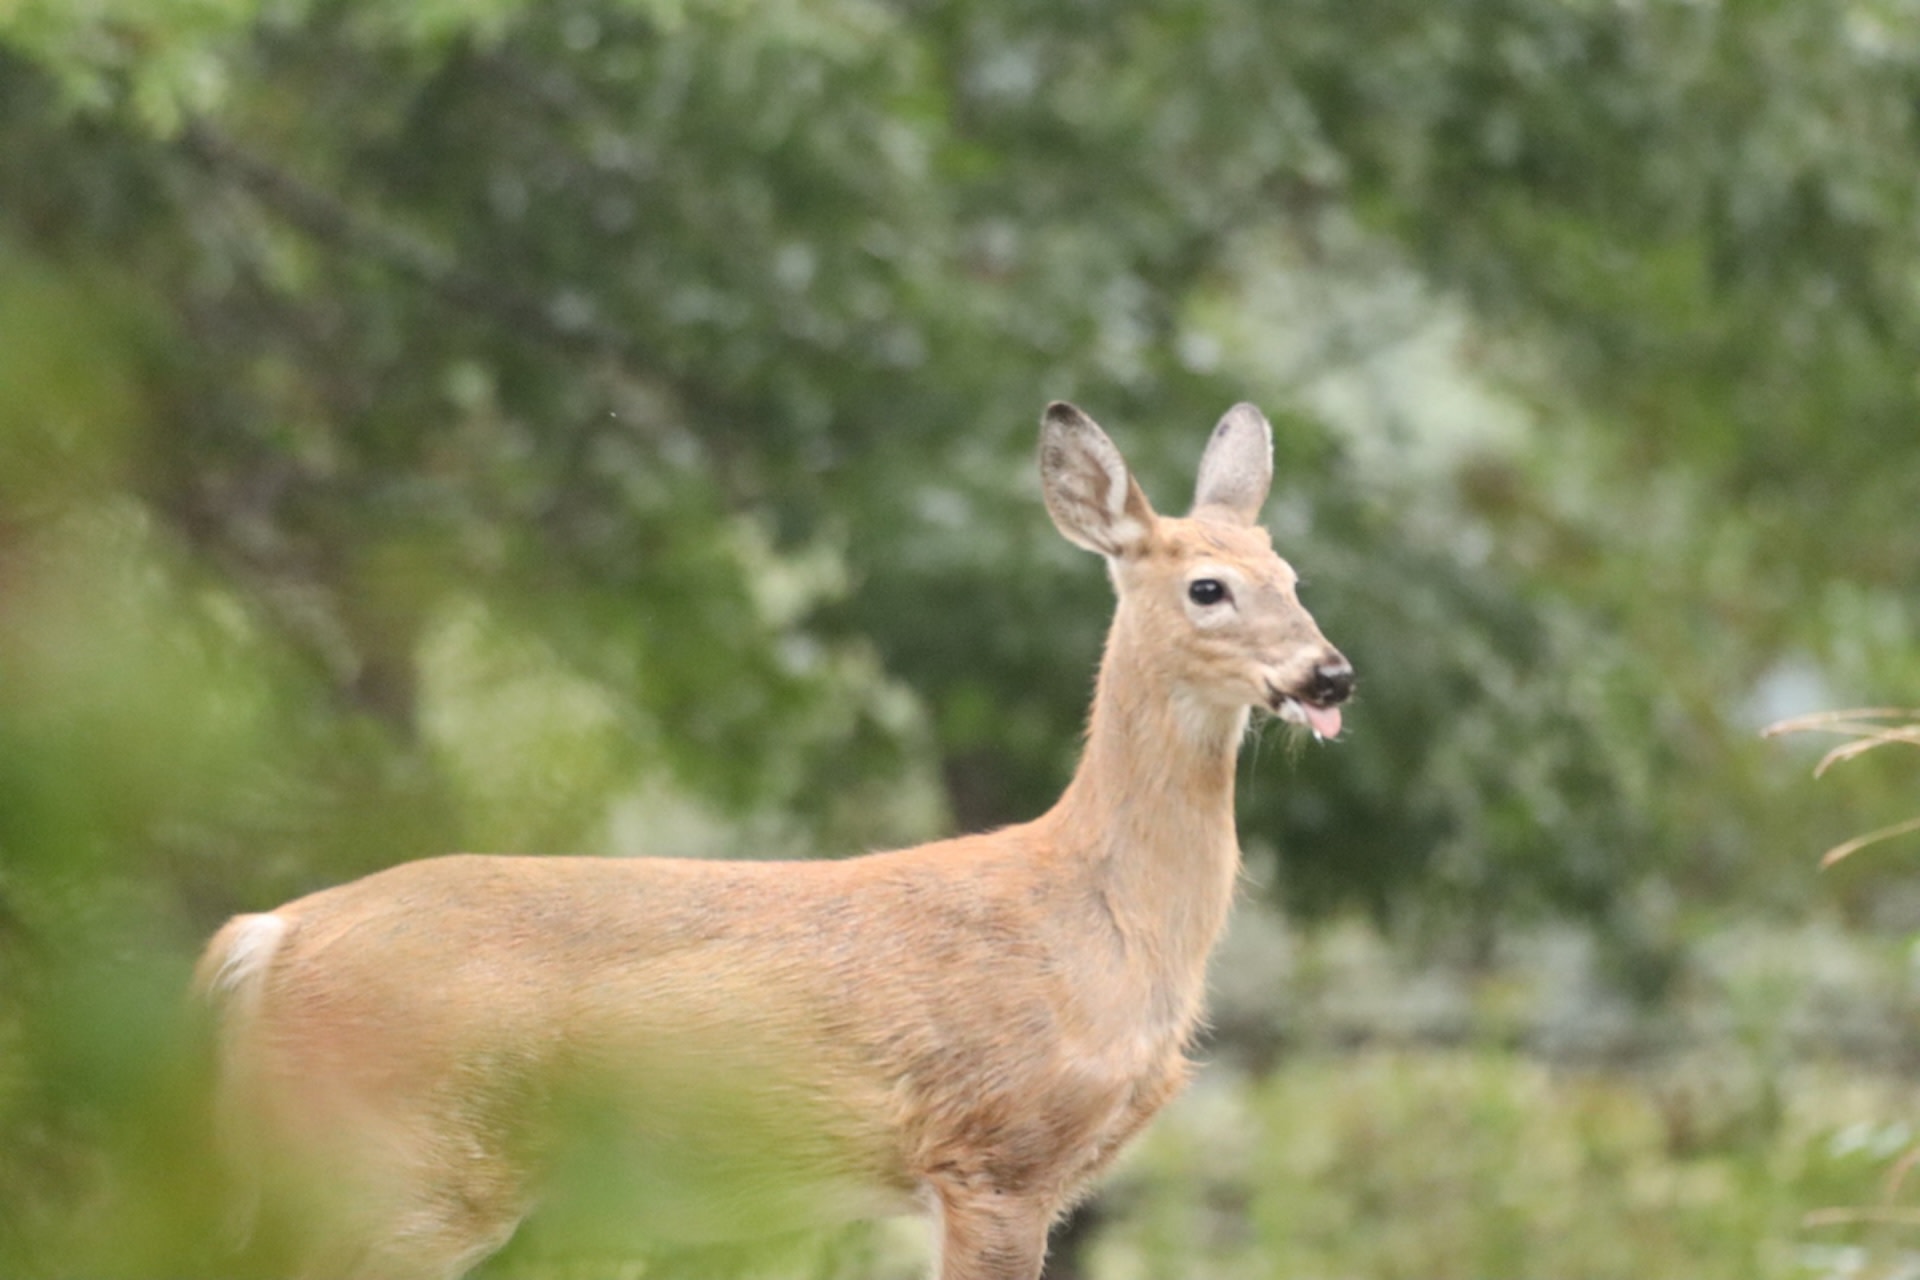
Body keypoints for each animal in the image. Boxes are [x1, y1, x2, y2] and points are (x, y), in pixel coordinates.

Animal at [198, 402, 1351, 1280]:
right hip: (404, 1170)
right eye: (1208, 587)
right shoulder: (996, 1150)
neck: (1099, 914)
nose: (1329, 673)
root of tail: (268, 937)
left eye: (1294, 575)